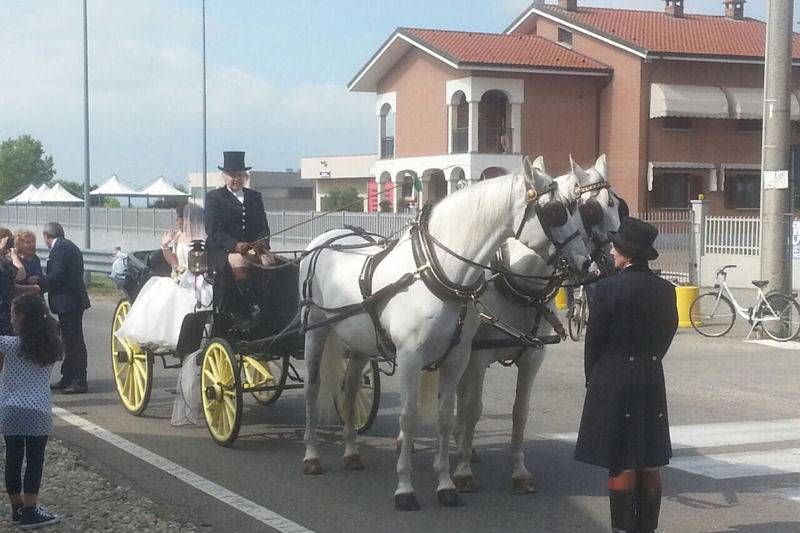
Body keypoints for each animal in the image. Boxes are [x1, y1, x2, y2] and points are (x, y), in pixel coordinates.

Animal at [296, 163, 592, 512]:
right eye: (556, 211)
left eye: (577, 210)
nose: (586, 262)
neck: (439, 273)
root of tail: (325, 239)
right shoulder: (411, 359)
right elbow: (409, 418)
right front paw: (405, 488)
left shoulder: (458, 357)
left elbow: (447, 417)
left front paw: (446, 484)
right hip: (316, 330)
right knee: (312, 387)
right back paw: (311, 455)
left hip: (359, 343)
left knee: (351, 389)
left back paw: (352, 452)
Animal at [450, 154, 624, 494]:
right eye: (592, 209)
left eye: (617, 205)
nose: (612, 262)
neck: (518, 282)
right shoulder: (477, 356)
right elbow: (474, 408)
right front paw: (462, 470)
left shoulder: (532, 358)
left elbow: (520, 412)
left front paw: (519, 471)